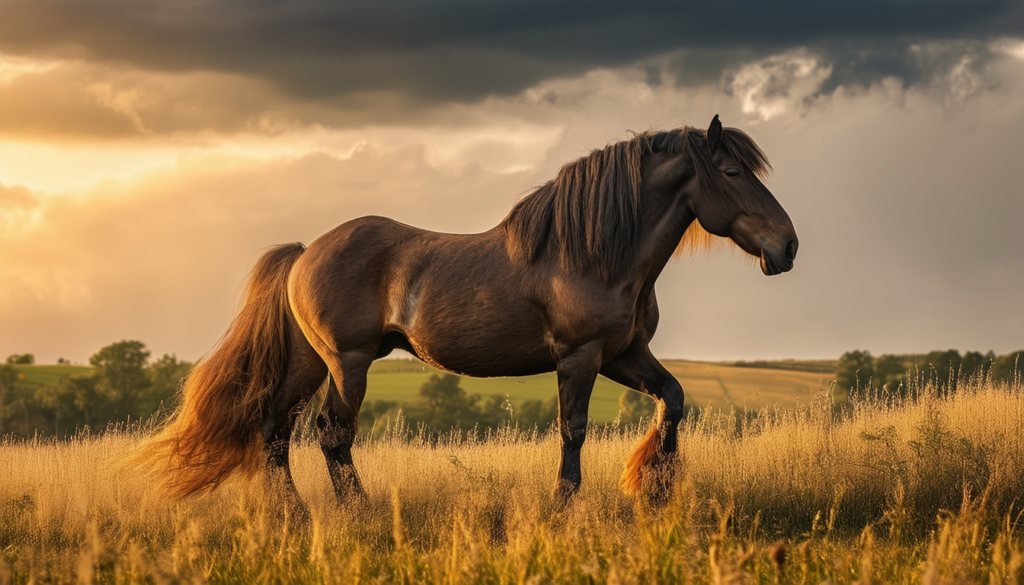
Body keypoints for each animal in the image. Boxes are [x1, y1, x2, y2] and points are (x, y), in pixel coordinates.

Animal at [139, 115, 798, 503]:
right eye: (733, 170)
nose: (787, 246)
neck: (593, 253)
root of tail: (305, 253)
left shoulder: (625, 354)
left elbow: (674, 401)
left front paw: (654, 489)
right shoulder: (580, 358)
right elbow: (573, 431)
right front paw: (566, 507)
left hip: (308, 363)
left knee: (275, 431)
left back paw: (294, 519)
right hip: (348, 362)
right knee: (332, 434)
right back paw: (359, 514)